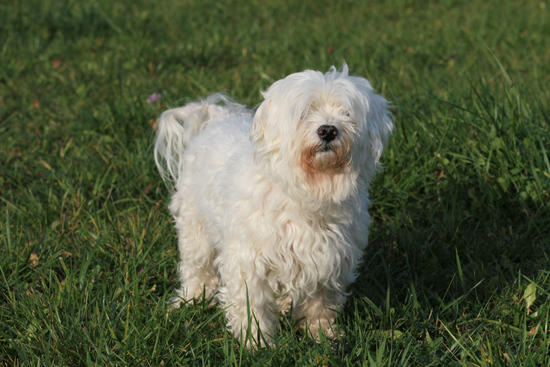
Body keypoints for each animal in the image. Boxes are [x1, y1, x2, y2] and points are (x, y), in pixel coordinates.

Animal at [155, 64, 394, 348]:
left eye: (346, 113)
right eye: (306, 111)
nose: (328, 130)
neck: (308, 191)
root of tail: (217, 117)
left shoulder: (330, 260)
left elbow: (320, 305)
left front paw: (322, 336)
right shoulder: (249, 260)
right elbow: (252, 305)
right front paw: (257, 343)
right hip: (195, 228)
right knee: (197, 268)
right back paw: (190, 300)